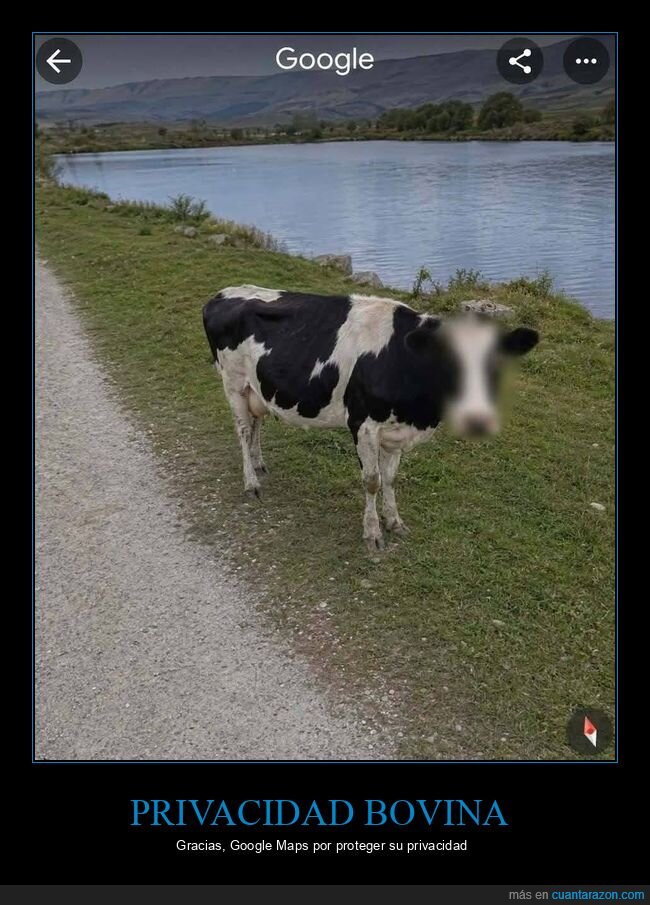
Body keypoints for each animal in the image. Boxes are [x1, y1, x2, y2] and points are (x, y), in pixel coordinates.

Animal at [202, 285, 539, 551]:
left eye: (495, 365)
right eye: (447, 361)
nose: (477, 421)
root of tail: (225, 293)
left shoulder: (396, 431)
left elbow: (390, 478)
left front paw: (394, 521)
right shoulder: (363, 425)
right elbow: (372, 480)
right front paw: (373, 532)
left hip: (257, 389)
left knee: (256, 423)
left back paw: (259, 463)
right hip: (233, 384)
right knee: (244, 431)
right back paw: (251, 482)